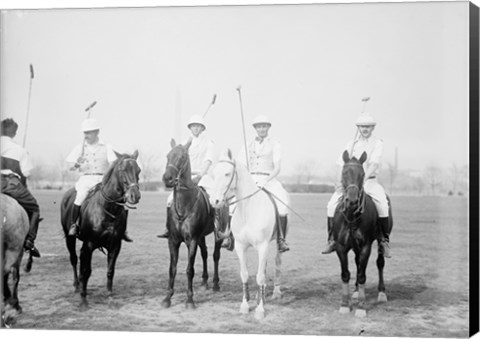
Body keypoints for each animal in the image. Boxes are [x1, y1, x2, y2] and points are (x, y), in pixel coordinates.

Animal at [60, 150, 141, 310]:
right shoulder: (89, 245)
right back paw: (77, 286)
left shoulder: (115, 245)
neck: (108, 209)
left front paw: (109, 297)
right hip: (69, 238)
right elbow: (86, 271)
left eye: (138, 170)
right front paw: (83, 299)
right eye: (122, 170)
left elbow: (110, 271)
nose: (134, 195)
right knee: (74, 259)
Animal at [159, 139, 223, 310]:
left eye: (182, 157)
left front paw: (189, 300)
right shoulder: (173, 241)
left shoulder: (192, 240)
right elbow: (172, 269)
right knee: (205, 253)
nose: (167, 178)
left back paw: (215, 284)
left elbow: (189, 269)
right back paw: (205, 281)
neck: (184, 204)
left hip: (217, 234)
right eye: (167, 155)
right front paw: (167, 298)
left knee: (215, 255)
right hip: (201, 236)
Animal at [208, 150, 284, 320]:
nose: (214, 201)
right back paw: (259, 296)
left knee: (277, 262)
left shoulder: (262, 246)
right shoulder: (241, 247)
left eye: (227, 173)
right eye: (213, 174)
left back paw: (276, 292)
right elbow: (245, 274)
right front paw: (245, 305)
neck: (248, 210)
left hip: (275, 243)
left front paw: (260, 310)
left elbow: (260, 276)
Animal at [334, 151, 394, 318]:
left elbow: (362, 275)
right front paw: (344, 305)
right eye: (344, 173)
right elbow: (345, 273)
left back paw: (382, 293)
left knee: (380, 263)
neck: (351, 216)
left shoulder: (366, 246)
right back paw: (355, 291)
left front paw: (361, 307)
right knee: (357, 262)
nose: (352, 200)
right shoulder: (341, 247)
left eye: (362, 174)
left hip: (380, 241)